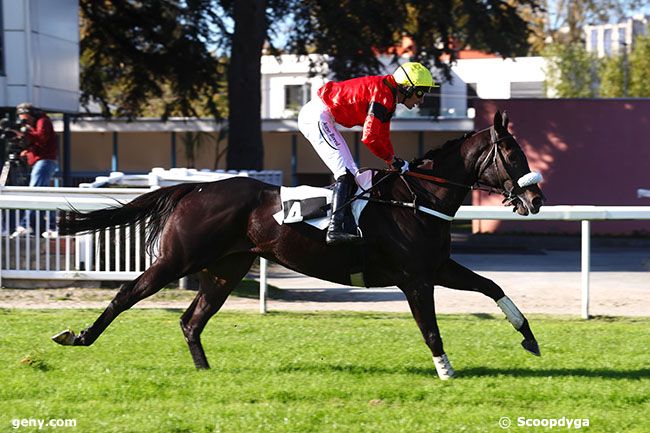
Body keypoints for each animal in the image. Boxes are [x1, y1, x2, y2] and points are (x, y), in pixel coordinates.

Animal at [53, 111, 544, 378]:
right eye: (513, 155)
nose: (536, 199)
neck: (416, 198)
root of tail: (194, 189)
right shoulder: (415, 280)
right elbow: (431, 330)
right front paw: (447, 372)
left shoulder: (437, 268)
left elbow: (493, 287)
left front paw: (530, 339)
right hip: (179, 258)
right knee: (127, 293)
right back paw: (78, 336)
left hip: (225, 269)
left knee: (192, 321)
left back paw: (205, 372)